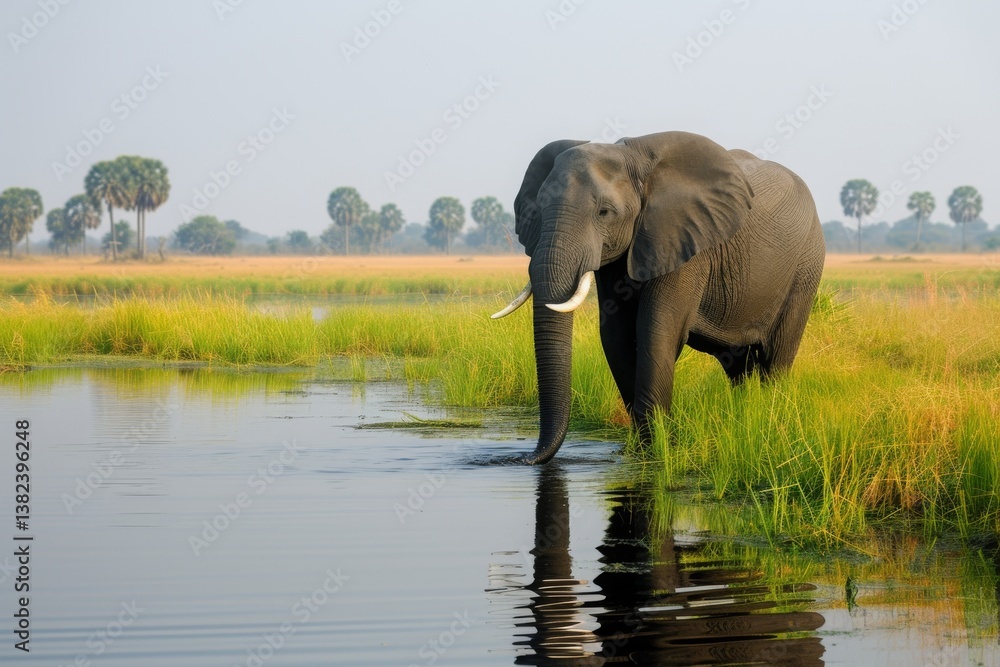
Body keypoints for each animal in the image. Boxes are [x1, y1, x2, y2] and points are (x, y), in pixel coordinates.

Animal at [493, 131, 825, 465]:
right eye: (538, 209)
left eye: (604, 213)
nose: (522, 460)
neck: (634, 159)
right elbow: (615, 335)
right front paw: (639, 449)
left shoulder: (686, 242)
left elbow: (656, 330)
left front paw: (658, 449)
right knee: (738, 365)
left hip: (806, 268)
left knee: (775, 359)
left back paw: (769, 419)